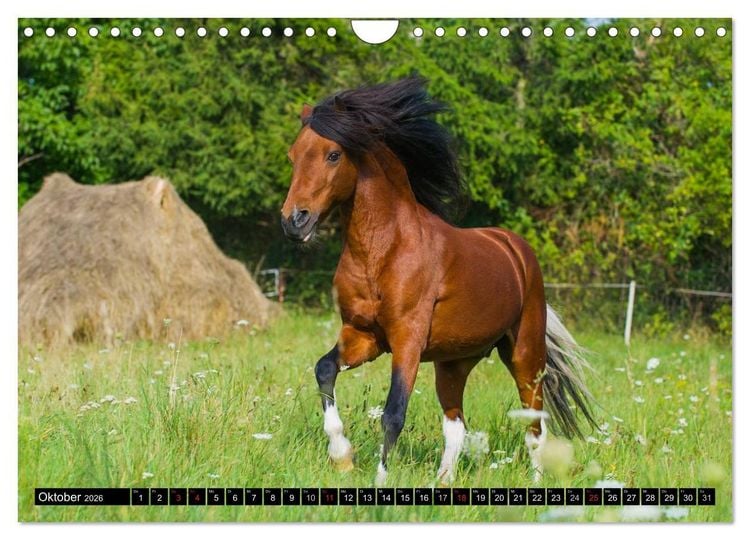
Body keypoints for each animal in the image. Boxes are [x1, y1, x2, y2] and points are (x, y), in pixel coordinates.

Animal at [280, 76, 596, 485]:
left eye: (333, 155)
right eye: (293, 155)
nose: (294, 221)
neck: (383, 251)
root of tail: (515, 248)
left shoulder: (408, 340)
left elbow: (393, 413)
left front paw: (378, 481)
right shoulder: (363, 336)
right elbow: (324, 369)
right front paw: (342, 455)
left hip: (525, 354)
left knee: (534, 425)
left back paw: (536, 481)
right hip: (454, 363)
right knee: (456, 426)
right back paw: (443, 481)